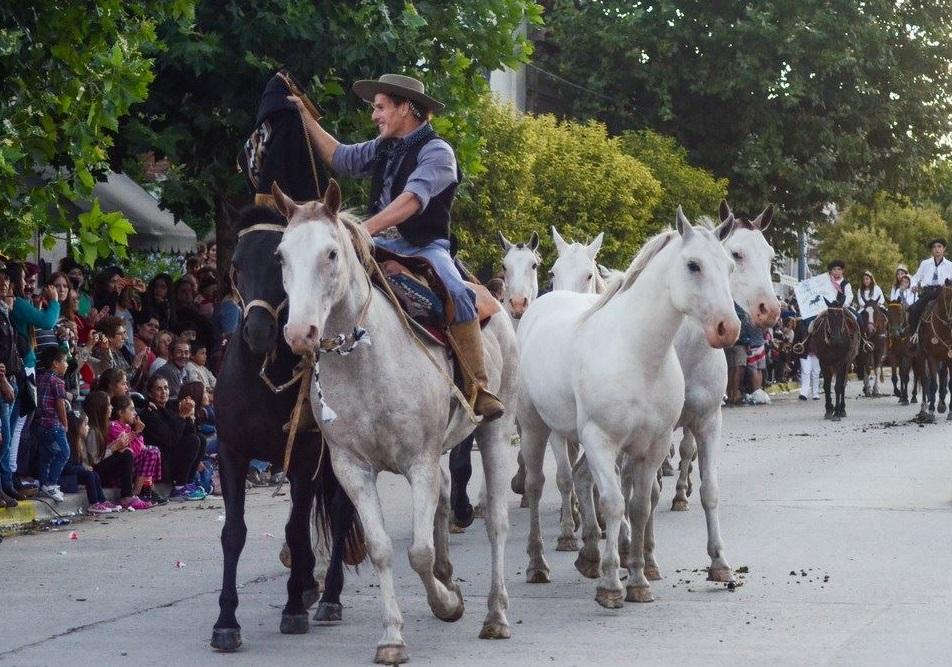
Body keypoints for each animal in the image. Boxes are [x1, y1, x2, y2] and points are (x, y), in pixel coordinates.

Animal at [272, 180, 516, 664]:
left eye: (331, 253)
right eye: (281, 255)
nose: (300, 333)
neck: (366, 361)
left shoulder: (418, 462)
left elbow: (418, 552)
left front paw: (447, 604)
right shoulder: (352, 468)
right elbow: (382, 549)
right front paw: (391, 637)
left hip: (495, 429)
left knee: (496, 521)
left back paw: (495, 615)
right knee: (445, 498)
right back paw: (450, 574)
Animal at [512, 209, 736, 604]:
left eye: (730, 265)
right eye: (693, 265)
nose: (728, 327)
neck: (637, 353)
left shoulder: (655, 445)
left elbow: (641, 505)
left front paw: (639, 579)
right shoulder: (601, 440)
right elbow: (614, 503)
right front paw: (611, 584)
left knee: (581, 480)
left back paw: (588, 556)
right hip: (536, 428)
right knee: (539, 486)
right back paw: (539, 563)